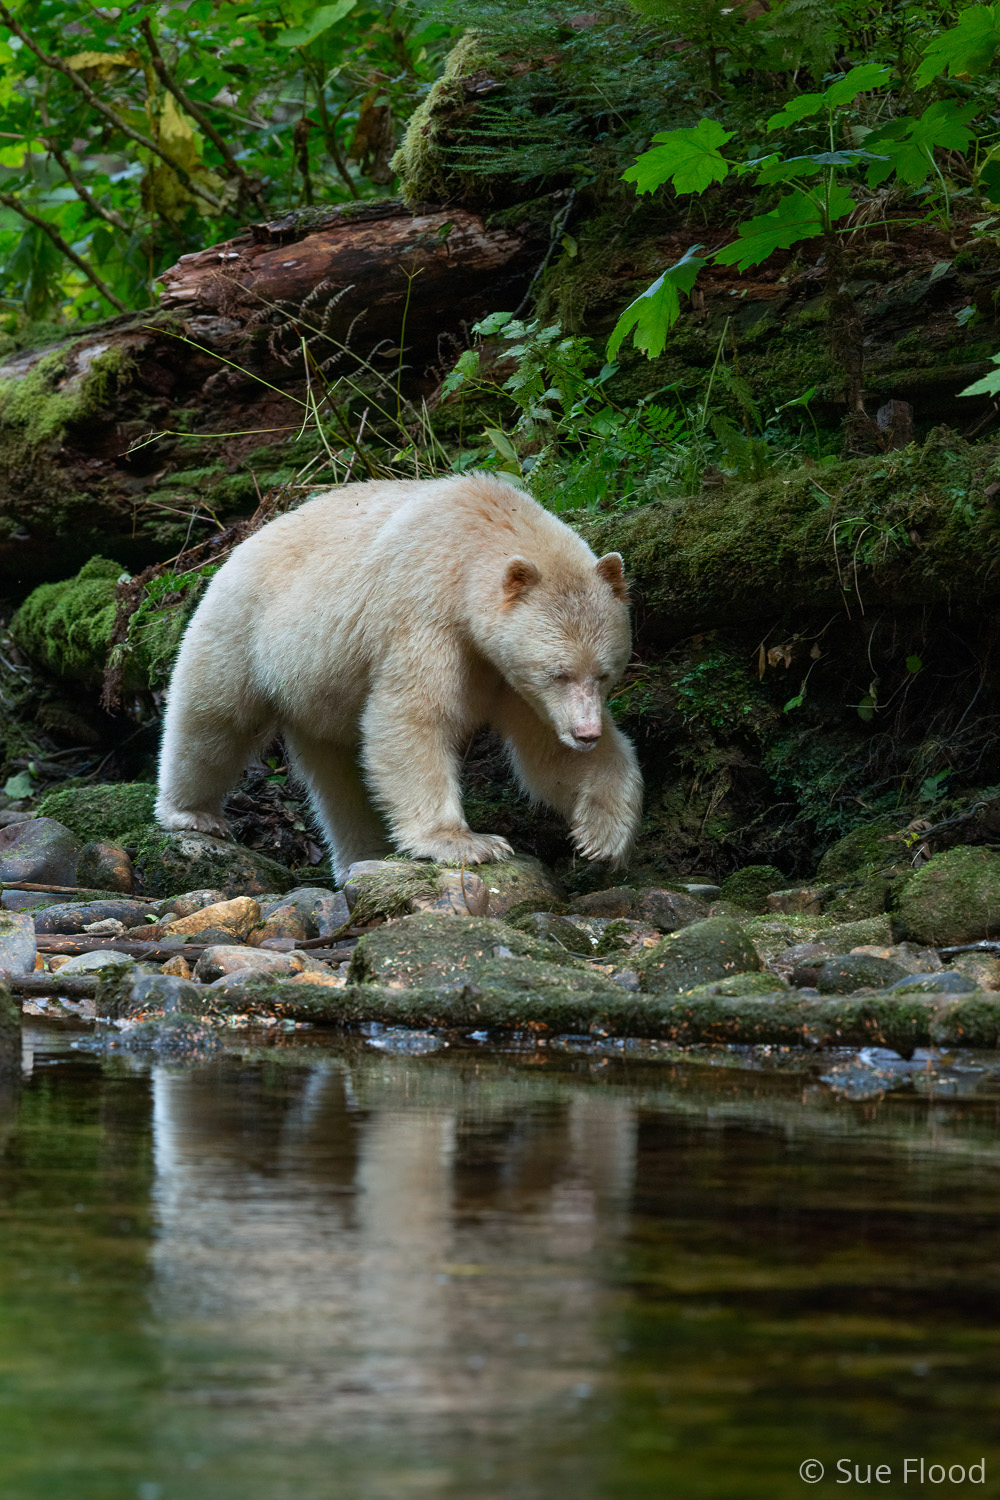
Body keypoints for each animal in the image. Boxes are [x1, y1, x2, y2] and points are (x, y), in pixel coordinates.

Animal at [154, 474, 641, 882]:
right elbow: (413, 716)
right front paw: (465, 843)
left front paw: (601, 834)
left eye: (604, 673)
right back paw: (192, 813)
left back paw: (363, 856)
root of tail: (240, 544)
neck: (477, 532)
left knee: (340, 778)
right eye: (557, 674)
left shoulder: (509, 676)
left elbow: (547, 754)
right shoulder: (427, 612)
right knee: (214, 721)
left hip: (318, 691)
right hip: (246, 631)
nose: (586, 733)